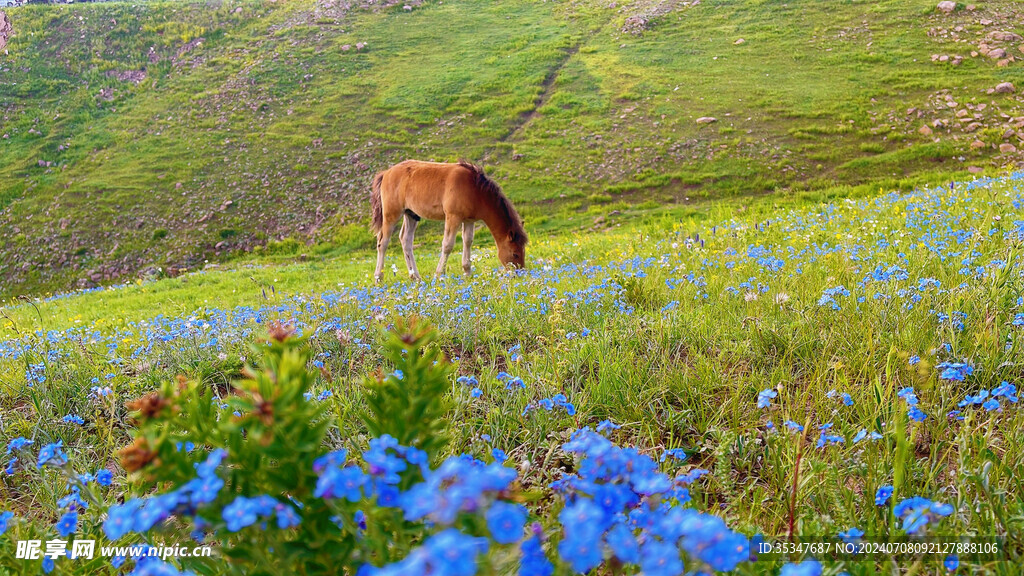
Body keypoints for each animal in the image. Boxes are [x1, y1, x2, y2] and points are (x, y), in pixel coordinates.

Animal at [368, 158, 528, 280]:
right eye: (515, 253)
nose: (519, 274)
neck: (474, 188)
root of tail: (386, 173)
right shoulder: (453, 217)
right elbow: (447, 245)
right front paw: (440, 274)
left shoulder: (469, 220)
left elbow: (468, 241)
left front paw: (467, 272)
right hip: (391, 215)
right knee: (383, 243)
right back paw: (378, 277)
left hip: (411, 215)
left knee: (405, 240)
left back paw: (416, 277)